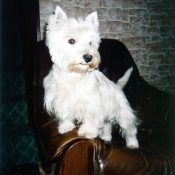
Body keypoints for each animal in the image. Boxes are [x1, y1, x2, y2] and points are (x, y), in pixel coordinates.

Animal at [43, 5, 139, 148]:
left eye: (90, 43)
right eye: (71, 41)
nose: (88, 57)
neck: (74, 75)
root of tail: (117, 87)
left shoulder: (92, 102)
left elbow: (90, 117)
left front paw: (88, 132)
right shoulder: (60, 99)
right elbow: (64, 114)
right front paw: (65, 127)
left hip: (123, 113)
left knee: (130, 129)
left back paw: (133, 144)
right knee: (106, 125)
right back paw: (105, 137)